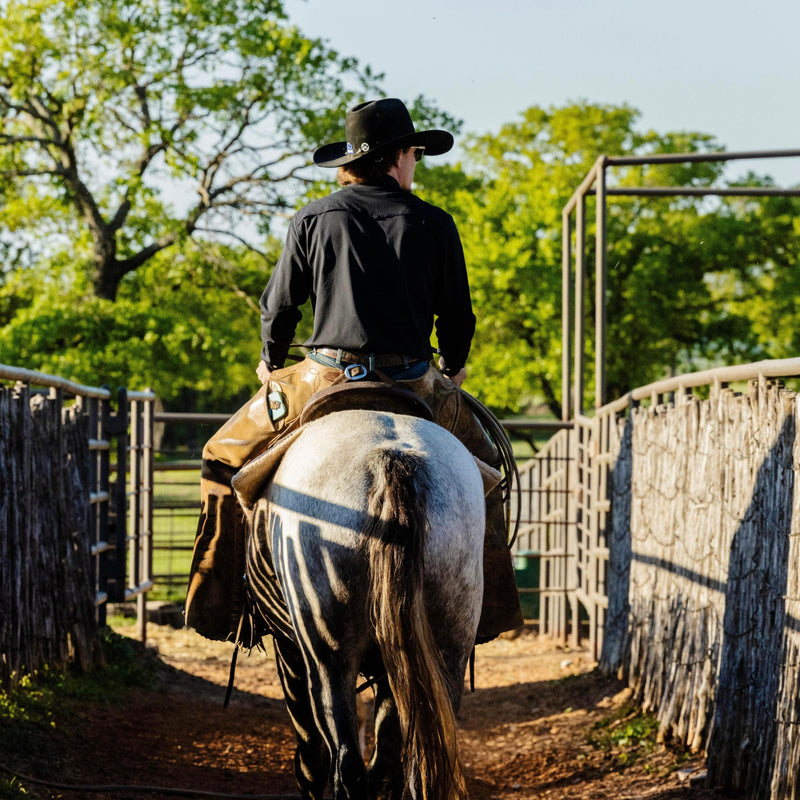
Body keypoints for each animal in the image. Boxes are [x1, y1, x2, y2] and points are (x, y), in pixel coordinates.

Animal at [241, 410, 484, 796]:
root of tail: (391, 457)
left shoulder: (288, 649)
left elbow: (311, 756)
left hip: (328, 658)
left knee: (344, 762)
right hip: (447, 651)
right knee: (401, 765)